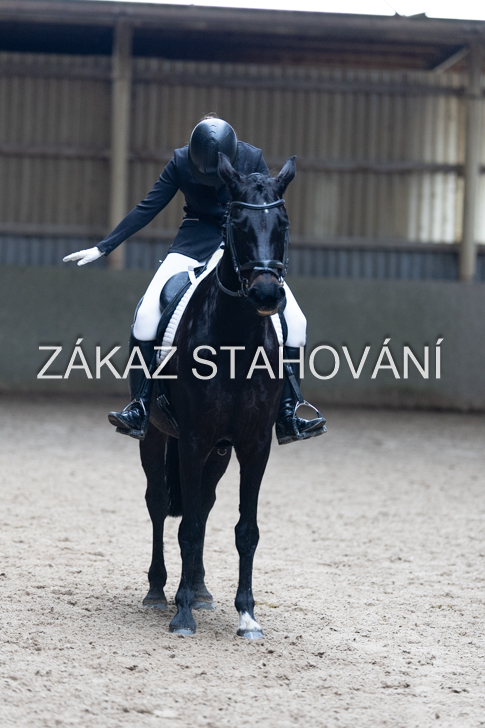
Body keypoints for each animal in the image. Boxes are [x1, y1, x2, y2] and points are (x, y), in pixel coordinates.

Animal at [139, 152, 296, 638]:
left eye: (282, 223)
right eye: (238, 223)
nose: (266, 293)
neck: (235, 340)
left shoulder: (254, 445)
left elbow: (245, 529)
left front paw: (247, 613)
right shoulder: (192, 439)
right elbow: (186, 526)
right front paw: (182, 614)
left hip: (221, 452)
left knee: (204, 505)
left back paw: (201, 588)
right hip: (156, 436)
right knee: (159, 503)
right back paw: (160, 590)